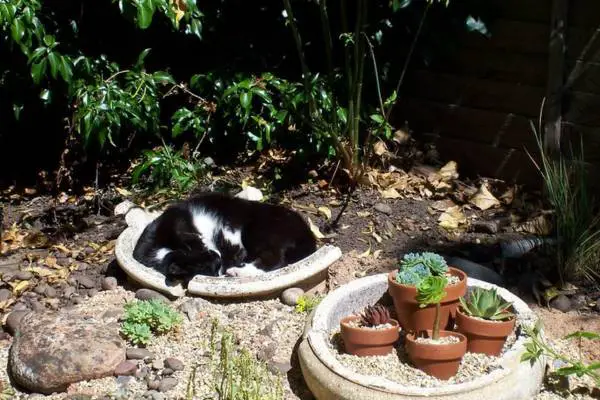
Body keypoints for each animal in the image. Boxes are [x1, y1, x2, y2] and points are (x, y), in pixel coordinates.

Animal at [132, 191, 318, 282]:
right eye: (207, 266)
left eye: (205, 253)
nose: (217, 257)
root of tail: (308, 234)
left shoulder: (173, 219)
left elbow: (181, 230)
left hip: (258, 230)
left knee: (273, 259)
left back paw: (237, 271)